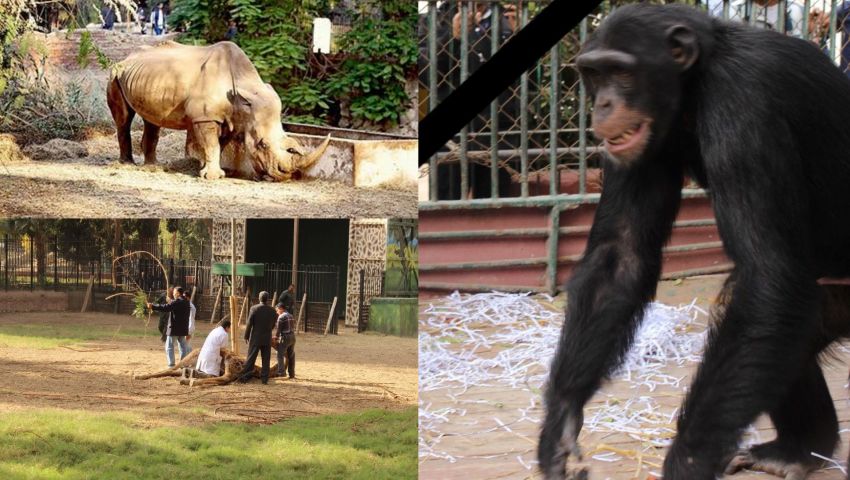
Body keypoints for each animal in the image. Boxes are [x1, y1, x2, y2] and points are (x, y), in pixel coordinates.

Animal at [131, 344, 280, 386]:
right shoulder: (181, 367)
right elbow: (165, 372)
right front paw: (138, 376)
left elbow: (165, 370)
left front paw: (137, 376)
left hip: (229, 363)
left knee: (224, 378)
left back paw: (193, 381)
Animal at [540, 3, 848, 480]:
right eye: (593, 73)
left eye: (620, 71)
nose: (603, 103)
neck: (695, 84)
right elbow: (622, 254)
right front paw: (561, 421)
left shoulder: (744, 103)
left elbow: (768, 277)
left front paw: (687, 461)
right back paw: (799, 449)